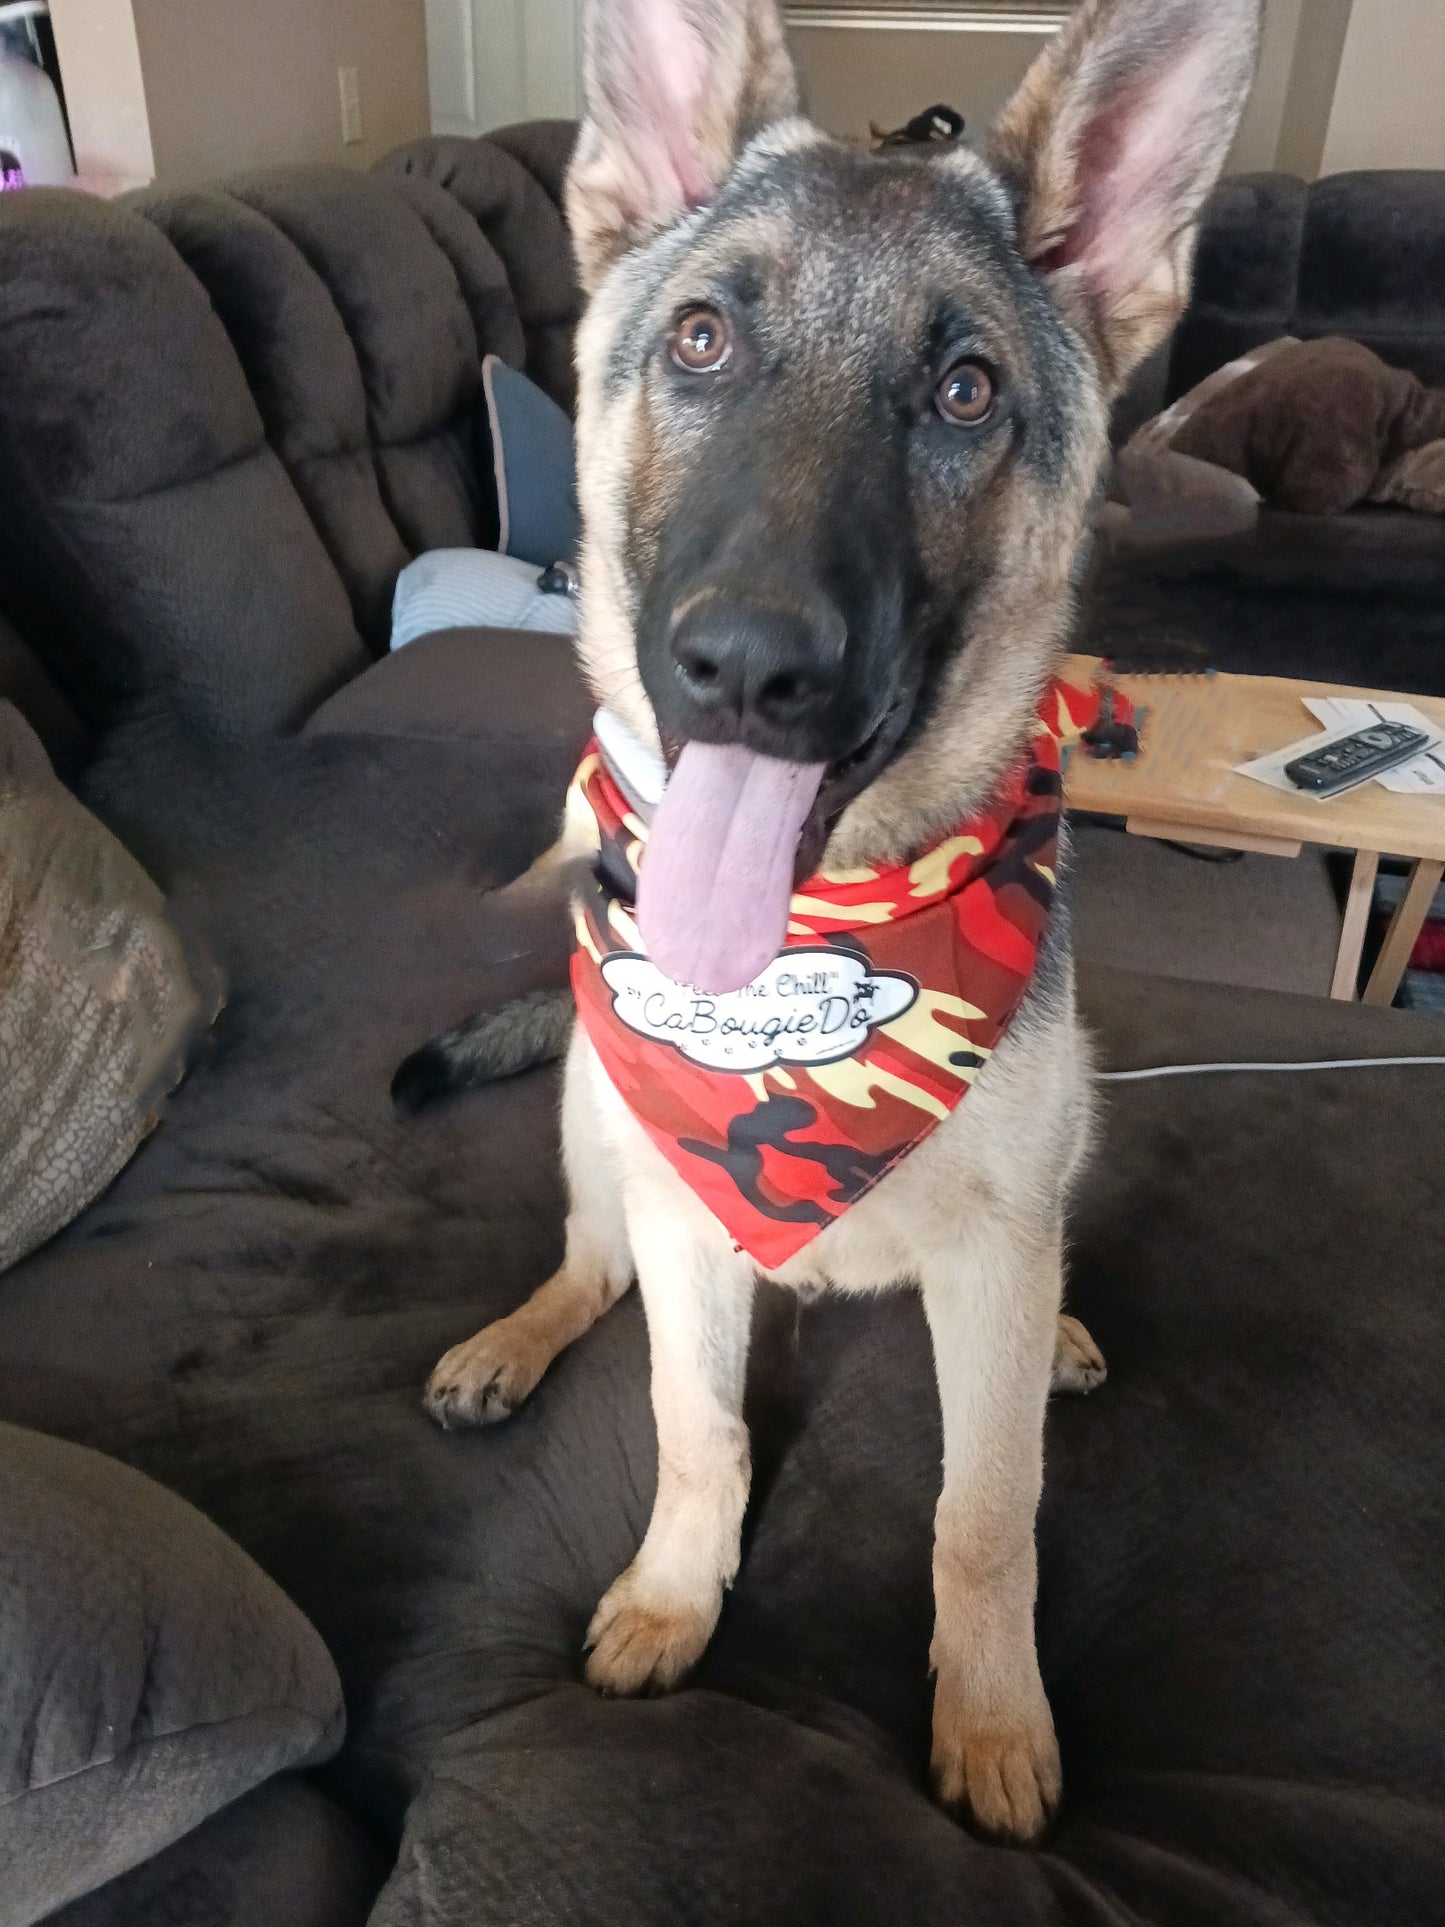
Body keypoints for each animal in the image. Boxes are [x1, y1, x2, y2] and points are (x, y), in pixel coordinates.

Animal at [404, 0, 1256, 1842]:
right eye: (703, 340)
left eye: (964, 390)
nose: (747, 667)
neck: (822, 935)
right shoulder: (680, 1213)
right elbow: (694, 1421)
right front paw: (676, 1590)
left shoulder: (993, 1259)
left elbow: (987, 1514)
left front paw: (992, 1717)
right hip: (592, 1119)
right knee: (593, 1261)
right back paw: (513, 1339)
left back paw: (1061, 1333)